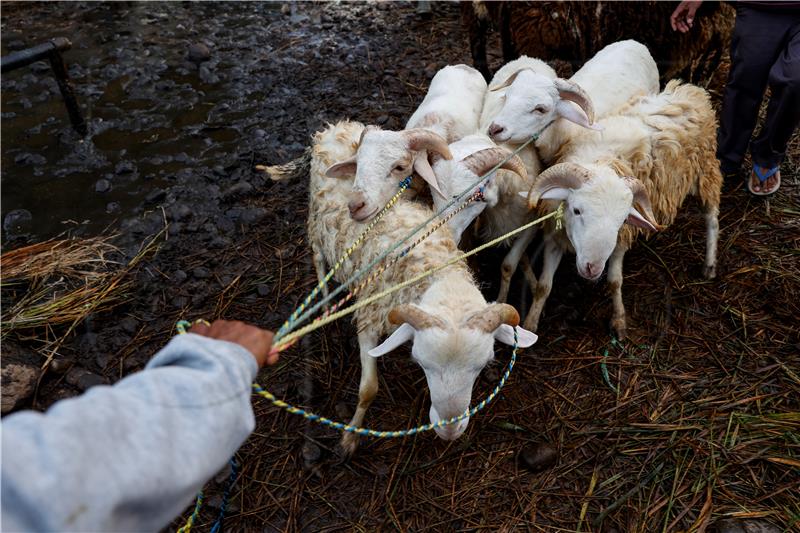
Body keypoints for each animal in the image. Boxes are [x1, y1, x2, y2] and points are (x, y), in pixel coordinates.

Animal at [266, 119, 536, 454]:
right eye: (420, 363)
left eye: (482, 365)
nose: (449, 430)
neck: (428, 264)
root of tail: (335, 127)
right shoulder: (370, 315)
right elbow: (369, 388)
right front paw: (350, 436)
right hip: (317, 219)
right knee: (316, 253)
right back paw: (326, 296)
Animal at [520, 79, 720, 336]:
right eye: (576, 210)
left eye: (622, 220)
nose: (592, 268)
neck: (600, 161)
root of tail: (692, 90)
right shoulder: (556, 236)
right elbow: (544, 286)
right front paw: (531, 323)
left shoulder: (622, 238)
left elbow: (615, 281)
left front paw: (619, 320)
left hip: (705, 170)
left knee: (712, 217)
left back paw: (710, 263)